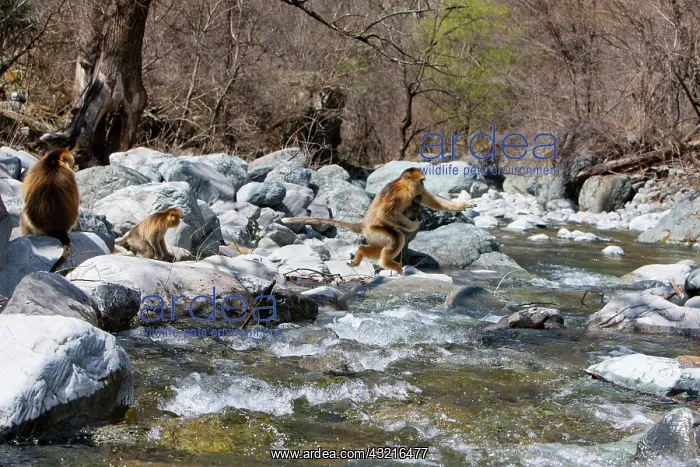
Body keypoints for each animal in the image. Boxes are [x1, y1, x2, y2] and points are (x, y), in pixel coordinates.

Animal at [282, 168, 472, 275]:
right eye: (421, 180)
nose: (423, 185)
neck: (405, 187)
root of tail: (363, 226)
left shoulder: (416, 193)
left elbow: (432, 201)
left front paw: (463, 205)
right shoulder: (400, 192)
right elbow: (385, 214)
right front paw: (413, 225)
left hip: (373, 236)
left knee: (379, 246)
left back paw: (361, 253)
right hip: (375, 231)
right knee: (397, 238)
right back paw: (385, 262)